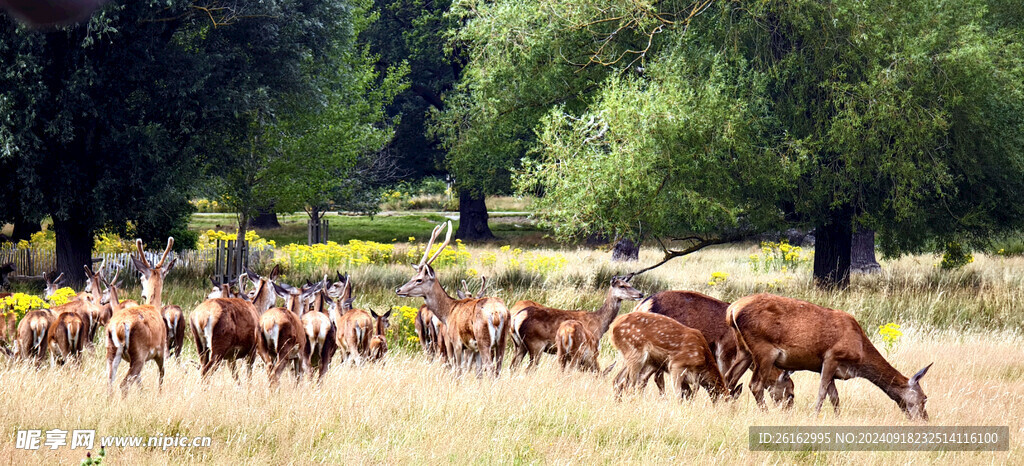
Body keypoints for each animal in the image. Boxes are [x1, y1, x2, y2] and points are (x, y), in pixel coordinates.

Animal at [397, 221, 512, 376]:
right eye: (413, 277)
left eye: (419, 280)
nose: (398, 290)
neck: (448, 312)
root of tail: (496, 313)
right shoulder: (473, 349)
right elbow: (477, 373)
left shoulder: (456, 342)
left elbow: (458, 371)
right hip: (502, 341)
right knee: (497, 369)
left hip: (483, 340)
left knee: (489, 367)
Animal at [509, 274, 643, 370]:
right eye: (622, 286)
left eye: (629, 283)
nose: (640, 294)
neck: (599, 323)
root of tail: (516, 317)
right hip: (536, 344)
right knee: (529, 368)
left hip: (519, 345)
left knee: (513, 367)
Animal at [729, 294, 937, 424]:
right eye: (924, 398)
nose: (925, 419)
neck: (859, 355)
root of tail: (732, 310)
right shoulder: (831, 357)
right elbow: (822, 393)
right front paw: (814, 416)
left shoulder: (831, 369)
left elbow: (834, 397)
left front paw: (838, 418)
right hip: (763, 350)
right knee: (755, 384)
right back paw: (765, 413)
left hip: (744, 351)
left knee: (730, 378)